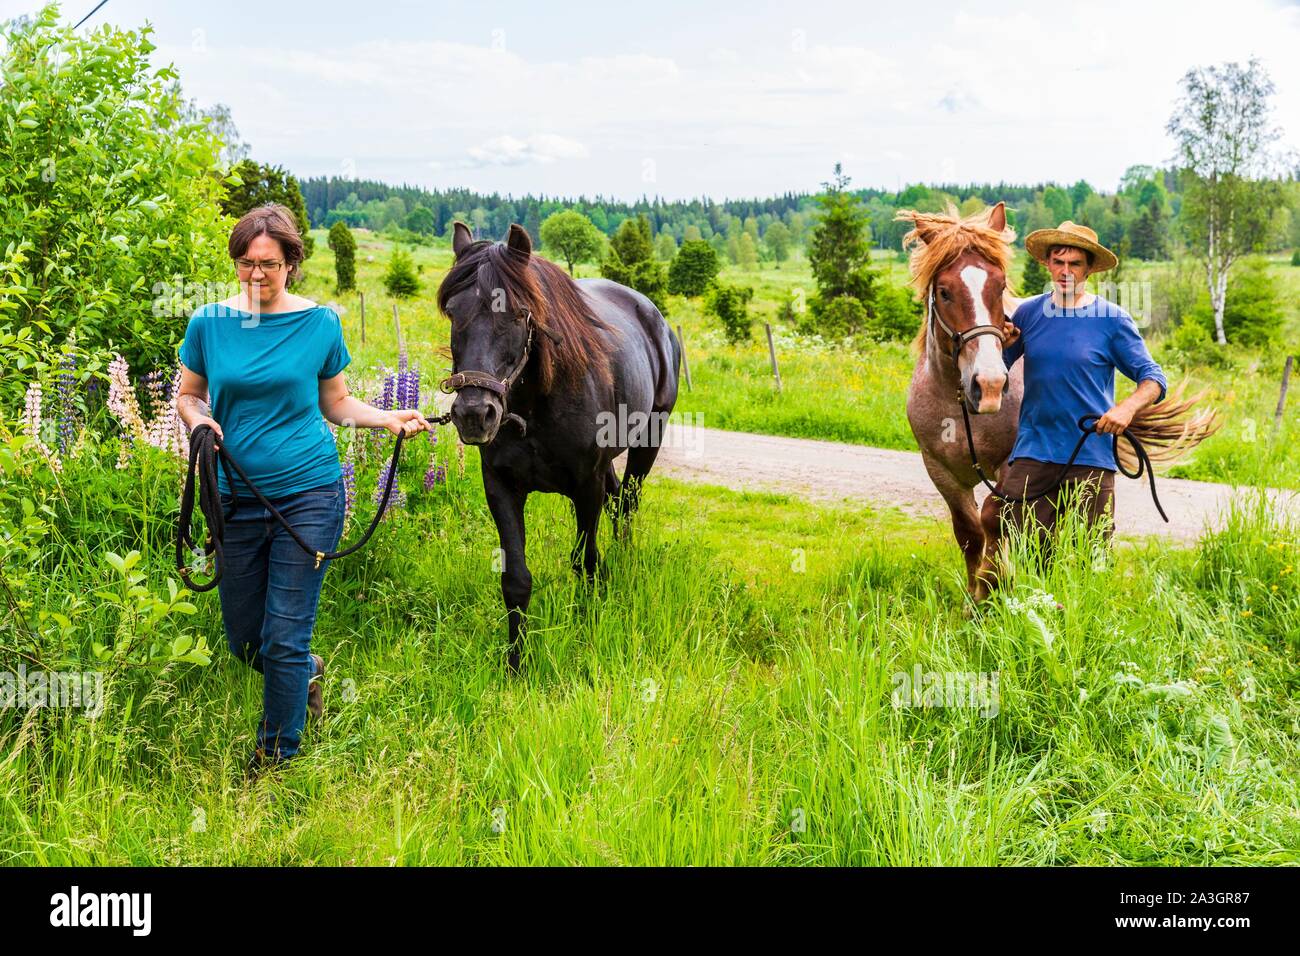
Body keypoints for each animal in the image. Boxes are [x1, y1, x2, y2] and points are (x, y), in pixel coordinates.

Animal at [437, 222, 681, 670]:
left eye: (519, 313)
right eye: (453, 312)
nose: (475, 414)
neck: (537, 404)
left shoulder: (585, 487)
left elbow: (584, 562)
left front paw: (587, 632)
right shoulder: (501, 487)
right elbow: (516, 579)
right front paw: (515, 663)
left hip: (648, 441)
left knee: (628, 504)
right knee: (618, 501)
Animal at [896, 202, 1218, 602]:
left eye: (1000, 286)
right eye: (944, 291)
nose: (989, 386)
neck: (961, 412)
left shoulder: (1012, 467)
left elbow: (994, 520)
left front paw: (995, 586)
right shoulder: (940, 470)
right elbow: (970, 531)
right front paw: (976, 599)